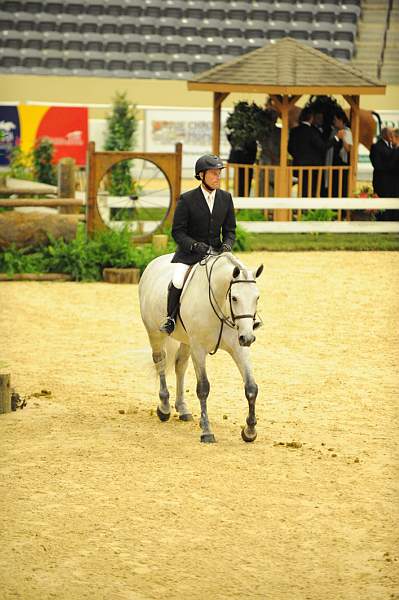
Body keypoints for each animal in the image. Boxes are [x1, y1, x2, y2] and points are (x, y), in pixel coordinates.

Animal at [139, 251, 264, 442]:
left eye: (257, 298)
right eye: (234, 298)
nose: (248, 337)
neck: (221, 305)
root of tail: (153, 263)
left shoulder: (239, 348)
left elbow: (251, 387)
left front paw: (250, 431)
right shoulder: (199, 348)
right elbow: (203, 388)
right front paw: (206, 431)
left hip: (186, 340)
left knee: (180, 365)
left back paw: (182, 409)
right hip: (155, 334)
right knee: (160, 362)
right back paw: (164, 407)